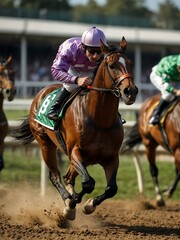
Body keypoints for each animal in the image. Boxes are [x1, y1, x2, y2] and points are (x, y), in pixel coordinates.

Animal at [13, 38, 138, 221]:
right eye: (112, 65)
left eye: (130, 63)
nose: (131, 91)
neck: (99, 119)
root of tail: (41, 92)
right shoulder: (75, 152)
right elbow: (88, 183)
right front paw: (71, 204)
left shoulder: (111, 157)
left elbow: (111, 189)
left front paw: (88, 205)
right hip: (45, 144)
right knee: (55, 175)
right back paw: (67, 200)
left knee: (68, 176)